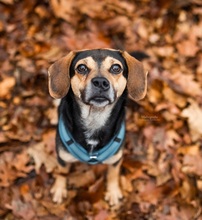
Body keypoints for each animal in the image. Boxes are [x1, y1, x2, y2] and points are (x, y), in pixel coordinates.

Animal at [48, 48, 148, 206]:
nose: (100, 82)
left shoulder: (115, 159)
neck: (95, 118)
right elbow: (61, 173)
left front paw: (113, 192)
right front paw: (59, 189)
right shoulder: (62, 158)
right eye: (81, 68)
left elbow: (113, 174)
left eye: (116, 68)